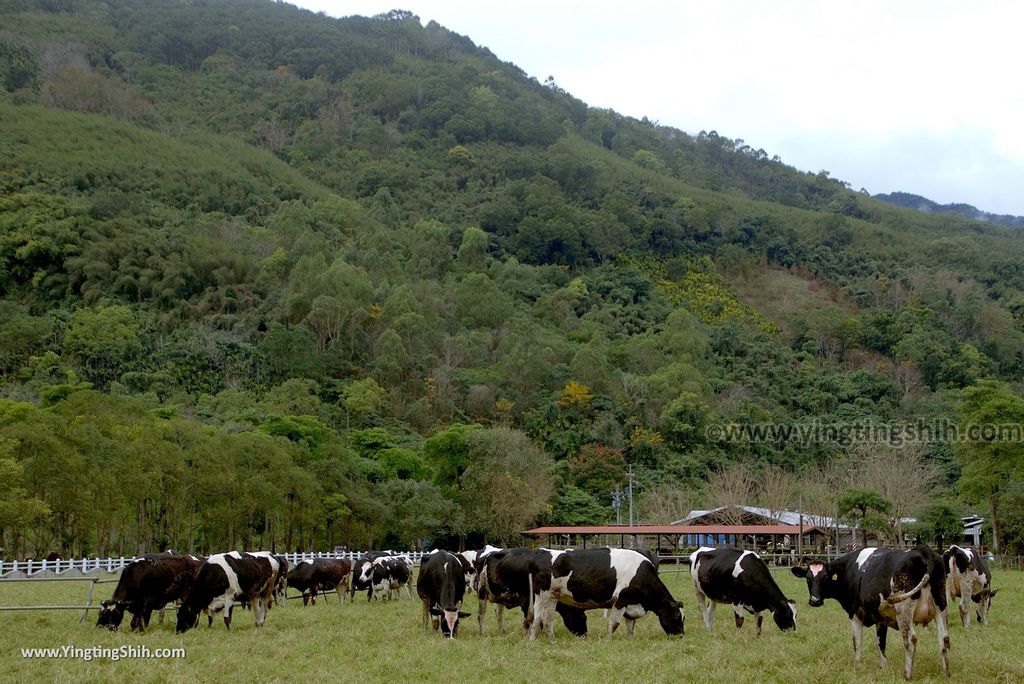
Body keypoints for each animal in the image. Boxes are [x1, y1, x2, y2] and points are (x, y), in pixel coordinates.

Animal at [528, 544, 688, 643]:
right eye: (676, 617)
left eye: (683, 618)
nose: (681, 636)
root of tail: (541, 551)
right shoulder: (621, 600)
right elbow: (614, 623)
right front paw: (607, 640)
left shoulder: (631, 604)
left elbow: (630, 625)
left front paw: (630, 640)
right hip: (550, 595)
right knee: (547, 620)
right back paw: (552, 641)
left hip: (538, 596)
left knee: (536, 617)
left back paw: (532, 640)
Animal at [790, 544, 950, 679]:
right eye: (808, 579)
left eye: (825, 578)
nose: (814, 601)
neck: (849, 570)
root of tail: (923, 550)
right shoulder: (881, 619)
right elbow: (881, 643)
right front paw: (884, 666)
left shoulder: (855, 613)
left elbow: (857, 642)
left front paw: (857, 665)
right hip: (941, 605)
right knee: (944, 639)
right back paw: (946, 673)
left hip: (904, 611)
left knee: (911, 641)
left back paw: (907, 675)